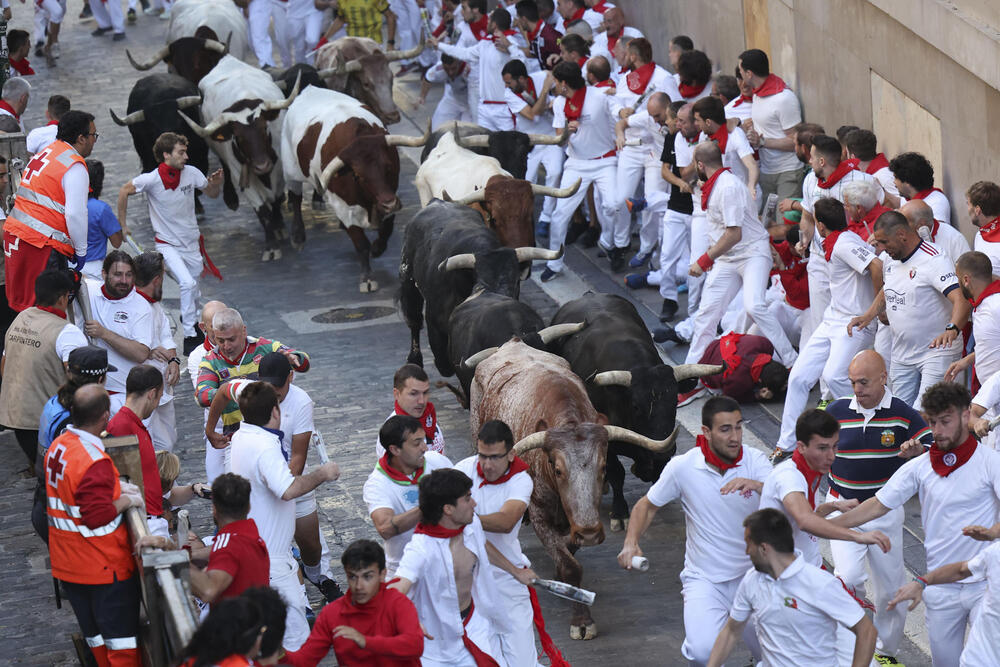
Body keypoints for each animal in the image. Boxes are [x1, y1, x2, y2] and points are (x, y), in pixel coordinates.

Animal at [466, 340, 672, 640]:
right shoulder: (539, 513)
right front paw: (581, 620)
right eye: (557, 468)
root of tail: (511, 343)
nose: (590, 533)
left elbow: (569, 555)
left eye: (603, 467)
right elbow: (570, 565)